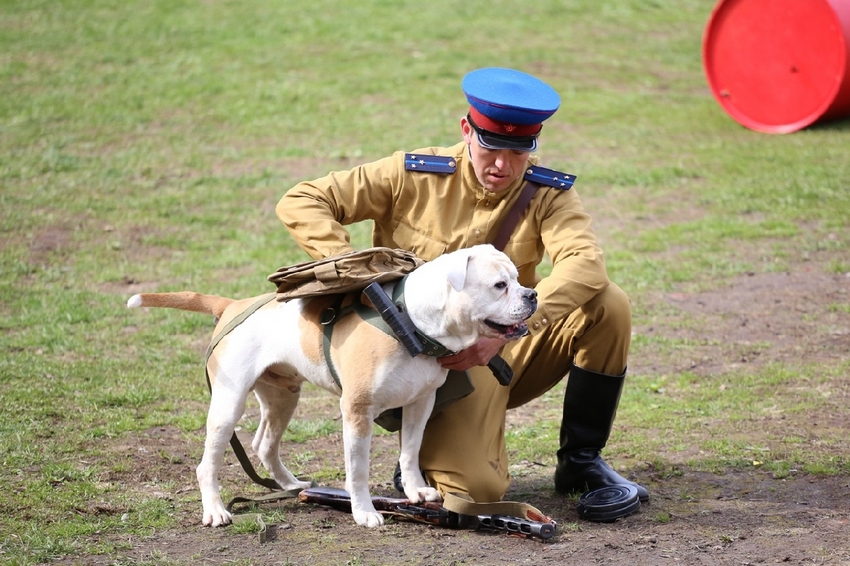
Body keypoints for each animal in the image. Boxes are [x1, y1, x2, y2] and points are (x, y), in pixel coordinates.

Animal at [126, 246, 536, 532]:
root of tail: (232, 305)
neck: (412, 320)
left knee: (264, 444)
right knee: (207, 464)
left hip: (283, 397)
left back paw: (292, 485)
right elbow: (358, 470)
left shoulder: (421, 402)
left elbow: (410, 451)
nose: (531, 294)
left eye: (517, 279)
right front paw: (364, 512)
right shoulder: (357, 411)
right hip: (228, 406)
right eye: (499, 286)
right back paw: (215, 510)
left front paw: (416, 491)